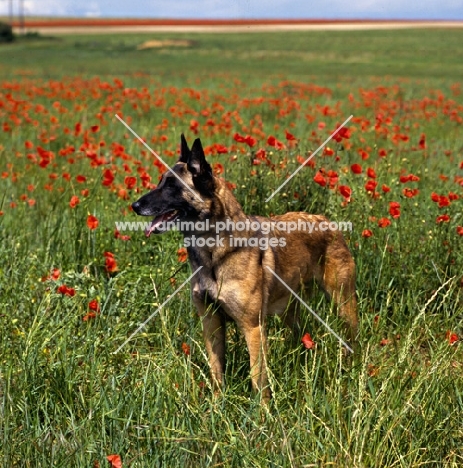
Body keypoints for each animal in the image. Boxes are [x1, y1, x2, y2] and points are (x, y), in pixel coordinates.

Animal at [132, 133, 360, 400]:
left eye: (170, 186)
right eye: (160, 182)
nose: (134, 206)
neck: (215, 253)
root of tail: (326, 221)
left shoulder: (253, 328)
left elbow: (257, 378)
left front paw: (262, 411)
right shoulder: (211, 323)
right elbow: (216, 371)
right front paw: (217, 406)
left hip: (343, 302)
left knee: (351, 337)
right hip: (289, 309)